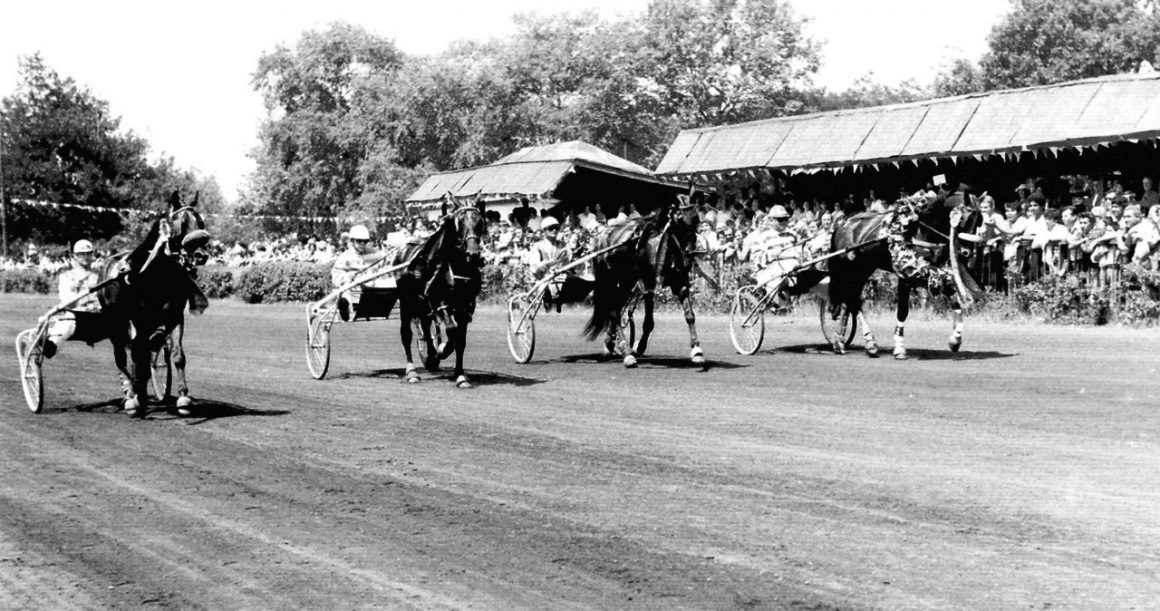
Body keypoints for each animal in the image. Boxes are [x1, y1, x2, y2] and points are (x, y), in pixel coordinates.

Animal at [825, 194, 979, 359]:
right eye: (965, 218)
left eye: (979, 220)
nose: (967, 252)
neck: (920, 231)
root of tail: (843, 224)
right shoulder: (907, 274)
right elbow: (903, 310)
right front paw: (899, 346)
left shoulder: (932, 272)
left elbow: (954, 299)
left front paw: (956, 339)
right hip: (853, 268)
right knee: (852, 300)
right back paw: (868, 342)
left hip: (862, 269)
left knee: (850, 300)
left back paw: (840, 341)